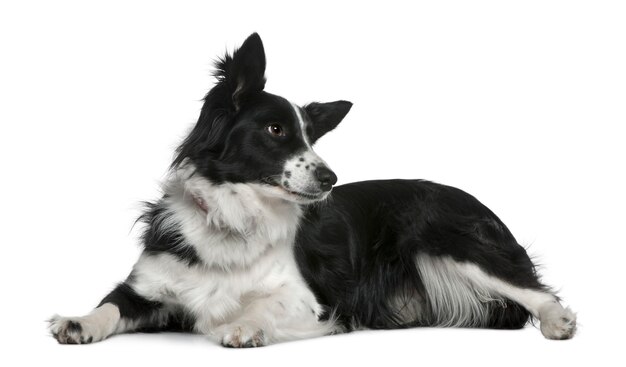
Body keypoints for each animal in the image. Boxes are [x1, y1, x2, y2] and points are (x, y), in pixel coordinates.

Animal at [48, 32, 576, 348]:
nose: (330, 179)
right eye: (276, 130)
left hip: (449, 240)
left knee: (534, 289)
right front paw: (78, 321)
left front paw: (241, 325)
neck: (237, 218)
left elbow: (262, 303)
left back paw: (558, 321)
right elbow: (110, 305)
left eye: (310, 138)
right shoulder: (148, 286)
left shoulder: (311, 300)